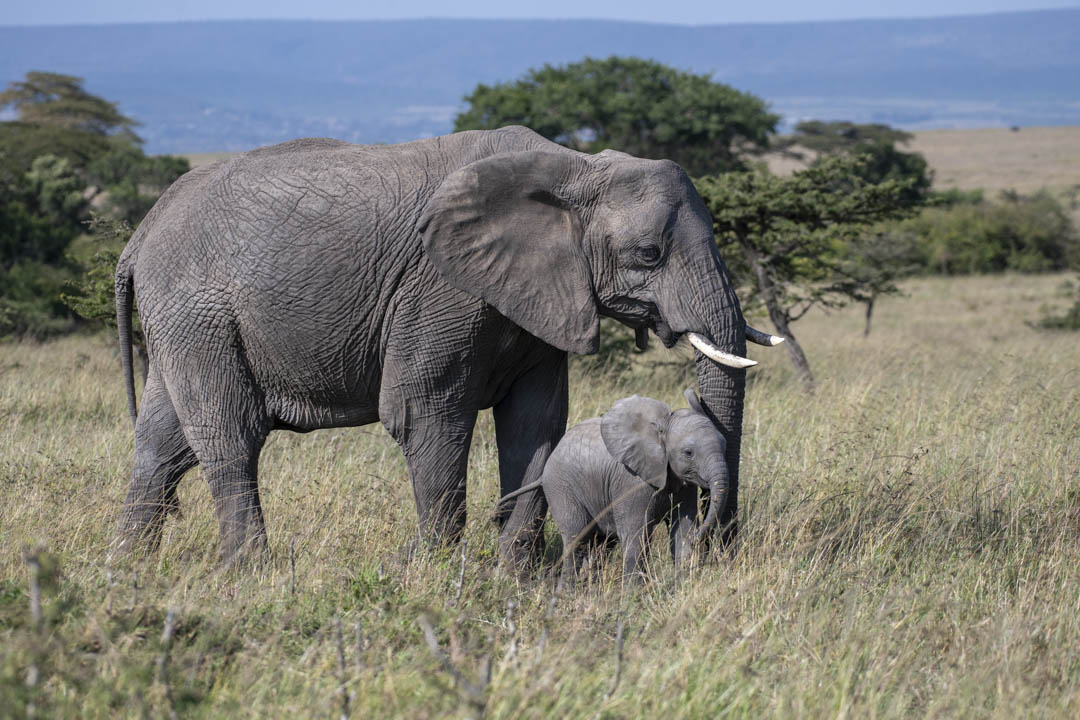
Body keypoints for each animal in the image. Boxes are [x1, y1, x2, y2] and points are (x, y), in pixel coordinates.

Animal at [496, 390, 729, 581]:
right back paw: (568, 593)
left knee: (601, 543)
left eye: (724, 445)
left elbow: (682, 531)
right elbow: (636, 535)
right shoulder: (631, 482)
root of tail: (544, 472)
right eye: (688, 453)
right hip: (560, 486)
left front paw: (682, 585)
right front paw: (634, 598)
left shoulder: (684, 483)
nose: (703, 541)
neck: (661, 429)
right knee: (576, 537)